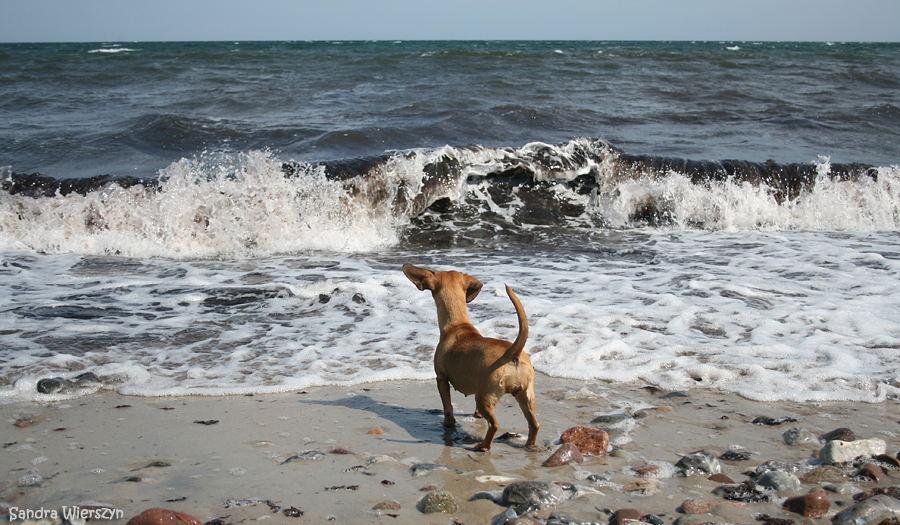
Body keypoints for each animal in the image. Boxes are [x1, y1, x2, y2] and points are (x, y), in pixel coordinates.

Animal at [402, 264, 540, 448]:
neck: (457, 325)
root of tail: (512, 353)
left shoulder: (441, 379)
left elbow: (447, 406)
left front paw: (448, 423)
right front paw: (476, 416)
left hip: (486, 396)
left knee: (494, 425)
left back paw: (483, 446)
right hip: (526, 395)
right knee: (534, 424)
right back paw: (529, 445)